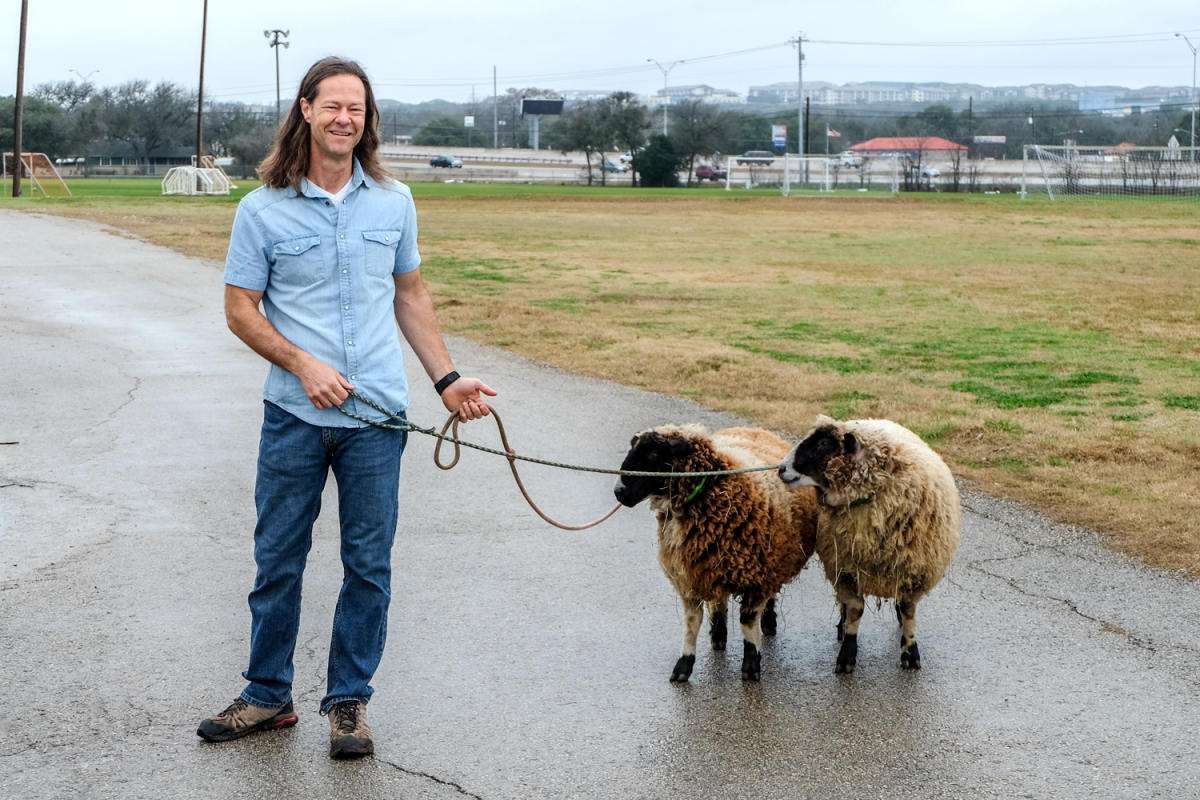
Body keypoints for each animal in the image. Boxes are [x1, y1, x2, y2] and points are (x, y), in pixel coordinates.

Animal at [614, 424, 820, 681]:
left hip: (773, 561)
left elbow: (747, 620)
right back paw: (719, 635)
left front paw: (751, 665)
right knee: (719, 601)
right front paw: (683, 666)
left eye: (653, 453)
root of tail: (752, 428)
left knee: (767, 598)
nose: (619, 492)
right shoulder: (689, 575)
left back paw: (768, 622)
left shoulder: (759, 573)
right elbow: (692, 621)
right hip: (714, 565)